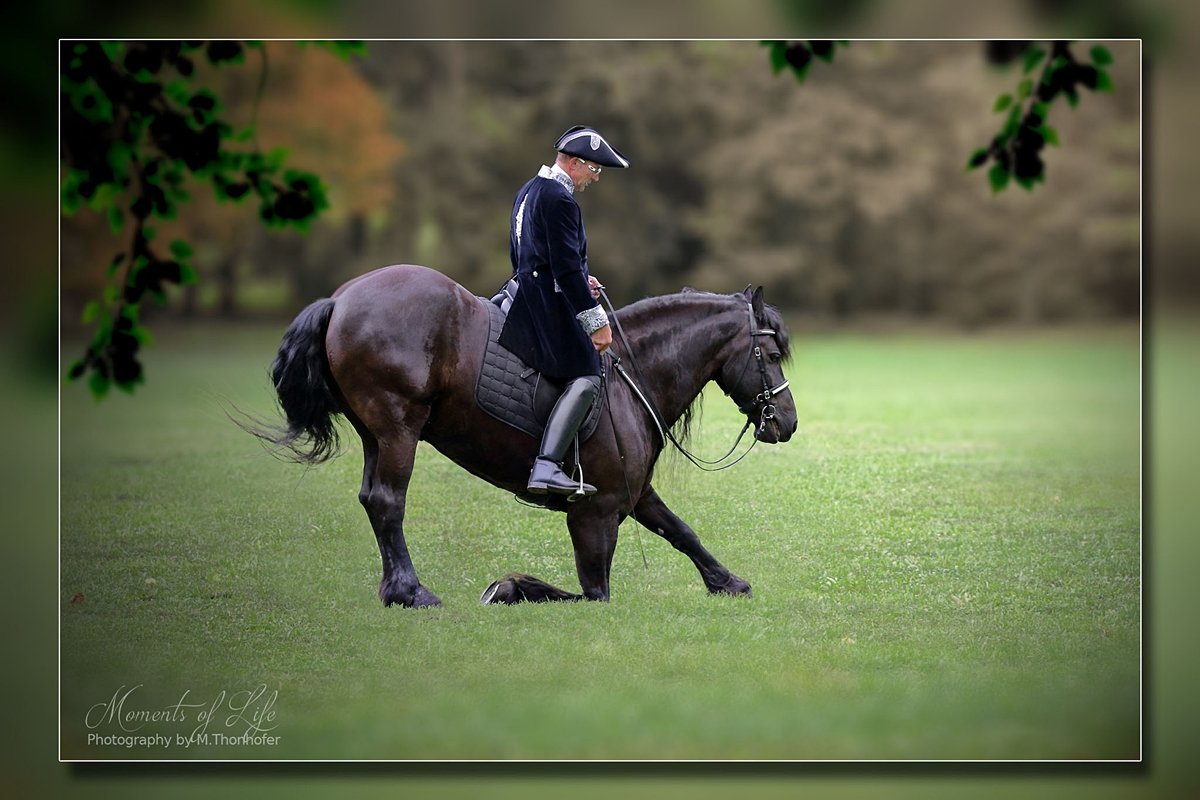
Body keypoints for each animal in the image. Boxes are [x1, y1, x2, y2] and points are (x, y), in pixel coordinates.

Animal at [247, 264, 797, 607]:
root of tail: (341, 299)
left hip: (375, 435)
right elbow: (591, 594)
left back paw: (394, 589)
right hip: (399, 428)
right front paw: (509, 588)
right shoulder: (594, 514)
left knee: (371, 499)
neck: (630, 377)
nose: (788, 422)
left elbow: (681, 530)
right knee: (387, 501)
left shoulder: (634, 494)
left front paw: (727, 582)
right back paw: (410, 592)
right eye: (771, 355)